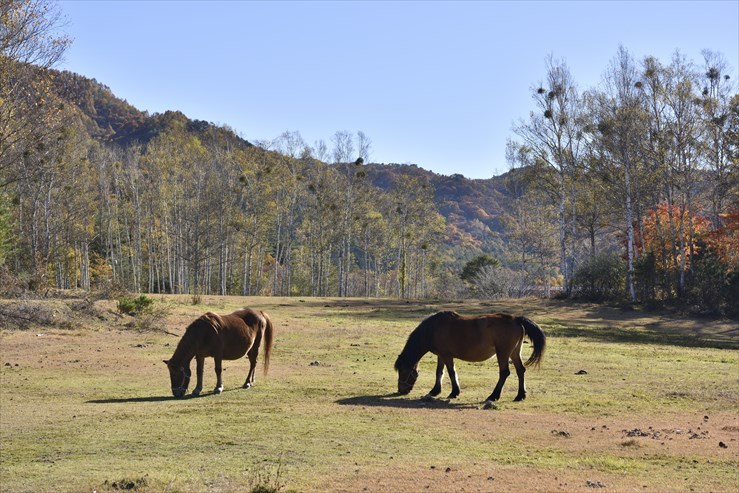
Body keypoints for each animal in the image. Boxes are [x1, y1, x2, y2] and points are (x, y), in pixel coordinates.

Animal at [396, 312, 548, 404]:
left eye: (403, 371)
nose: (401, 390)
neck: (433, 328)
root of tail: (516, 319)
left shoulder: (447, 355)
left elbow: (451, 373)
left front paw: (454, 392)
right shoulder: (441, 355)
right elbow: (439, 372)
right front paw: (435, 391)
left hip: (503, 353)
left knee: (504, 373)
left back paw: (493, 395)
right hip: (514, 353)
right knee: (520, 370)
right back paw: (520, 395)